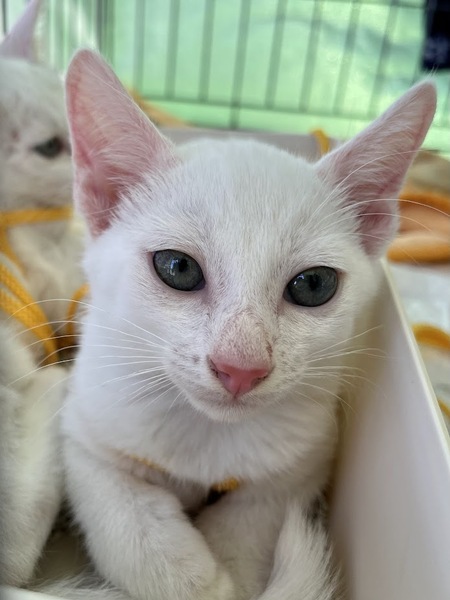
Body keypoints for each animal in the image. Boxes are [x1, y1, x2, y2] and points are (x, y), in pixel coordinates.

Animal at [58, 48, 436, 600]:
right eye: (178, 267)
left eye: (314, 285)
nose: (241, 368)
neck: (209, 437)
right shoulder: (83, 426)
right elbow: (124, 517)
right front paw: (191, 579)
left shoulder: (310, 451)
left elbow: (260, 512)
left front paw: (229, 572)